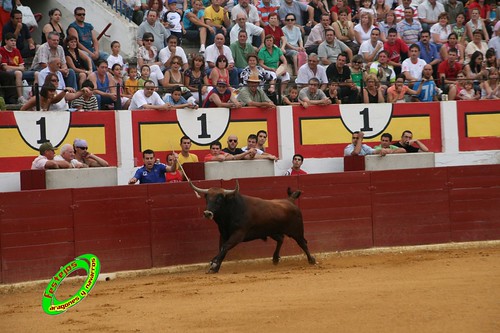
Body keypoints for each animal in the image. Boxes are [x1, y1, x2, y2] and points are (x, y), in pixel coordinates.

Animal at [188, 180, 316, 272]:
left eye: (219, 199)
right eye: (207, 198)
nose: (207, 213)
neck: (231, 212)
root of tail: (289, 200)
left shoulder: (238, 234)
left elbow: (225, 246)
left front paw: (214, 263)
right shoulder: (223, 234)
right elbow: (222, 248)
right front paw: (215, 267)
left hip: (297, 231)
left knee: (303, 243)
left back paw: (312, 260)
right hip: (272, 231)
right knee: (281, 239)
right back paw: (275, 259)